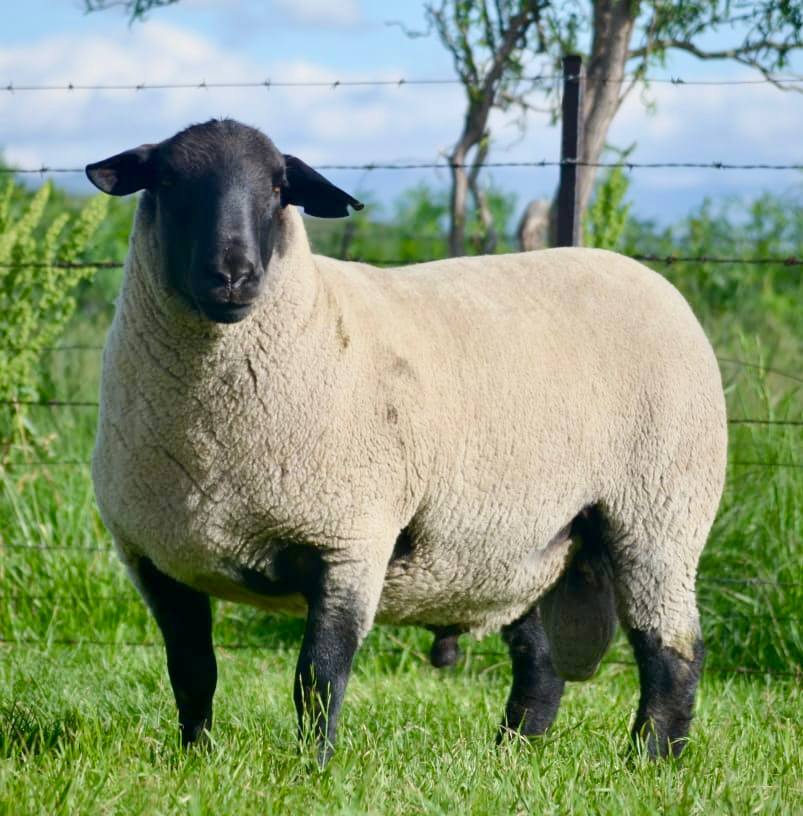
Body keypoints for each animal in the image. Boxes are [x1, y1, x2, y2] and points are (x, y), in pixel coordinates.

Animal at [86, 118, 727, 764]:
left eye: (278, 187)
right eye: (168, 182)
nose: (233, 276)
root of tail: (649, 278)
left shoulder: (350, 538)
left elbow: (318, 677)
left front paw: (314, 767)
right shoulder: (153, 555)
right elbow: (192, 671)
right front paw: (196, 759)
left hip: (661, 511)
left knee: (673, 649)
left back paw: (651, 759)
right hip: (522, 538)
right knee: (541, 661)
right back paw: (511, 754)